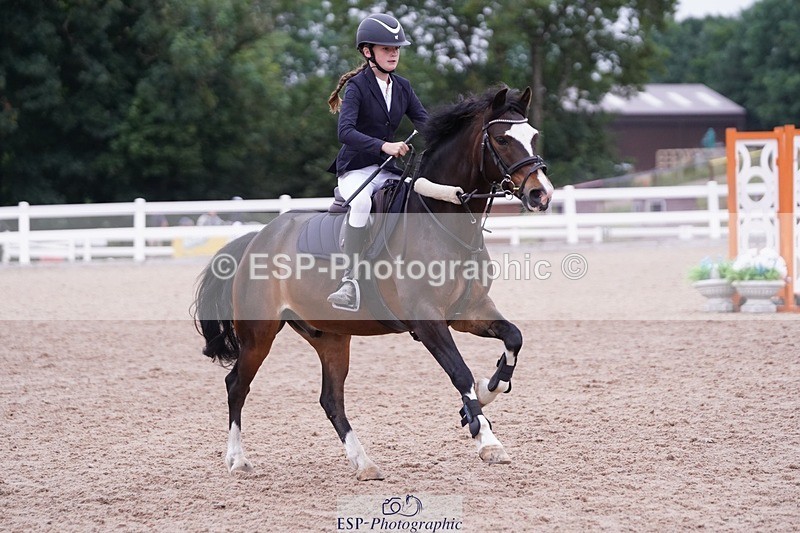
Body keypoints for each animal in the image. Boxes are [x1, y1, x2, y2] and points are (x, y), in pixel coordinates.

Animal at [194, 86, 553, 481]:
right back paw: (237, 459)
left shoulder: (469, 311)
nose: (541, 194)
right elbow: (460, 373)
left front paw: (486, 392)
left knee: (330, 399)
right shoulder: (427, 320)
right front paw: (486, 439)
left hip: (330, 337)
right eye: (502, 139)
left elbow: (513, 339)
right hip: (259, 333)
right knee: (237, 385)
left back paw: (363, 462)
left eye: (534, 136)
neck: (444, 218)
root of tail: (256, 238)